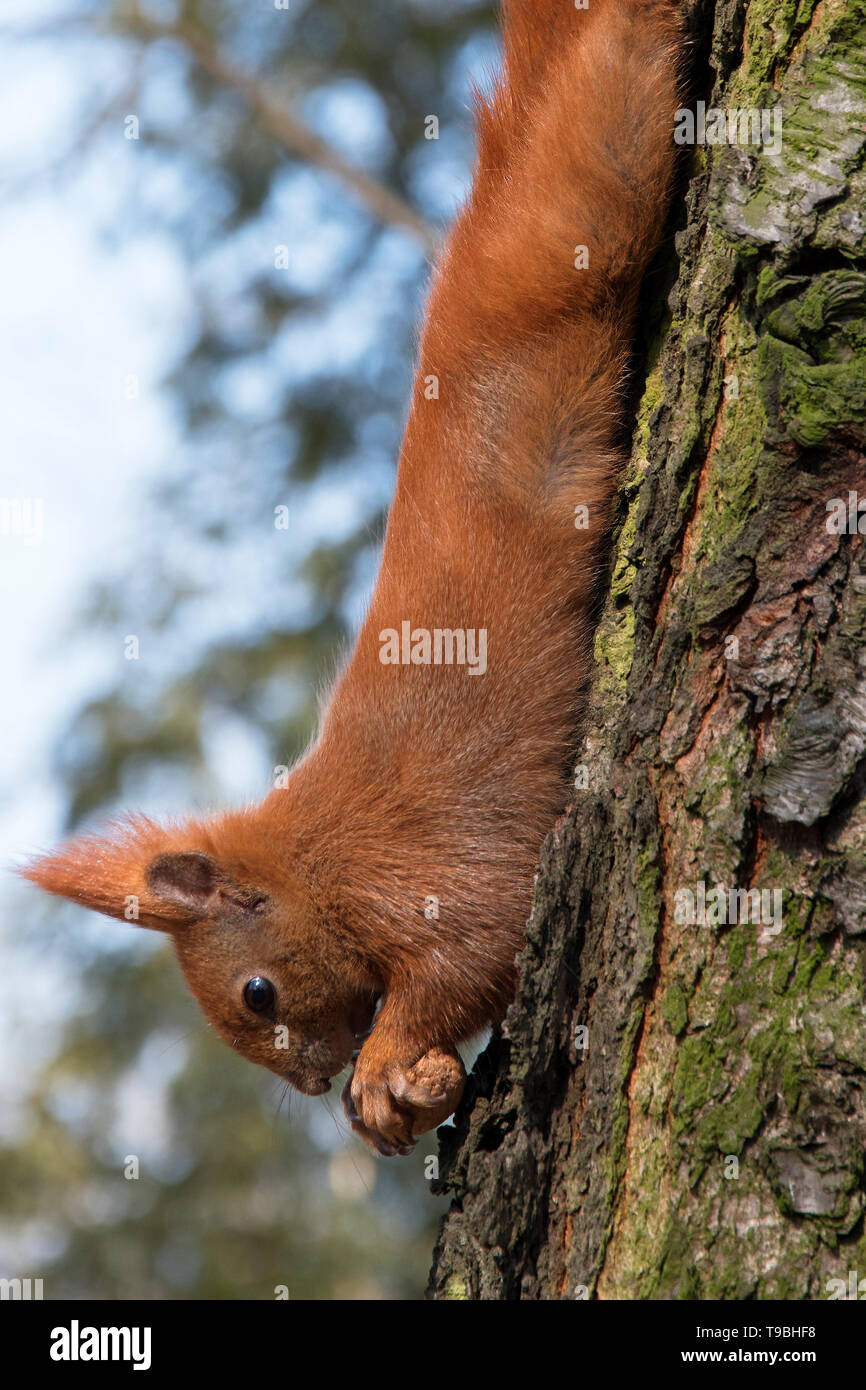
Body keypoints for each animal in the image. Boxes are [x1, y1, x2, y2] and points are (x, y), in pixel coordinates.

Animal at [23, 0, 683, 1150]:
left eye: (257, 995)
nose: (314, 1080)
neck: (315, 859)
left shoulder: (426, 869)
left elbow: (470, 955)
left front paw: (384, 1072)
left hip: (602, 177)